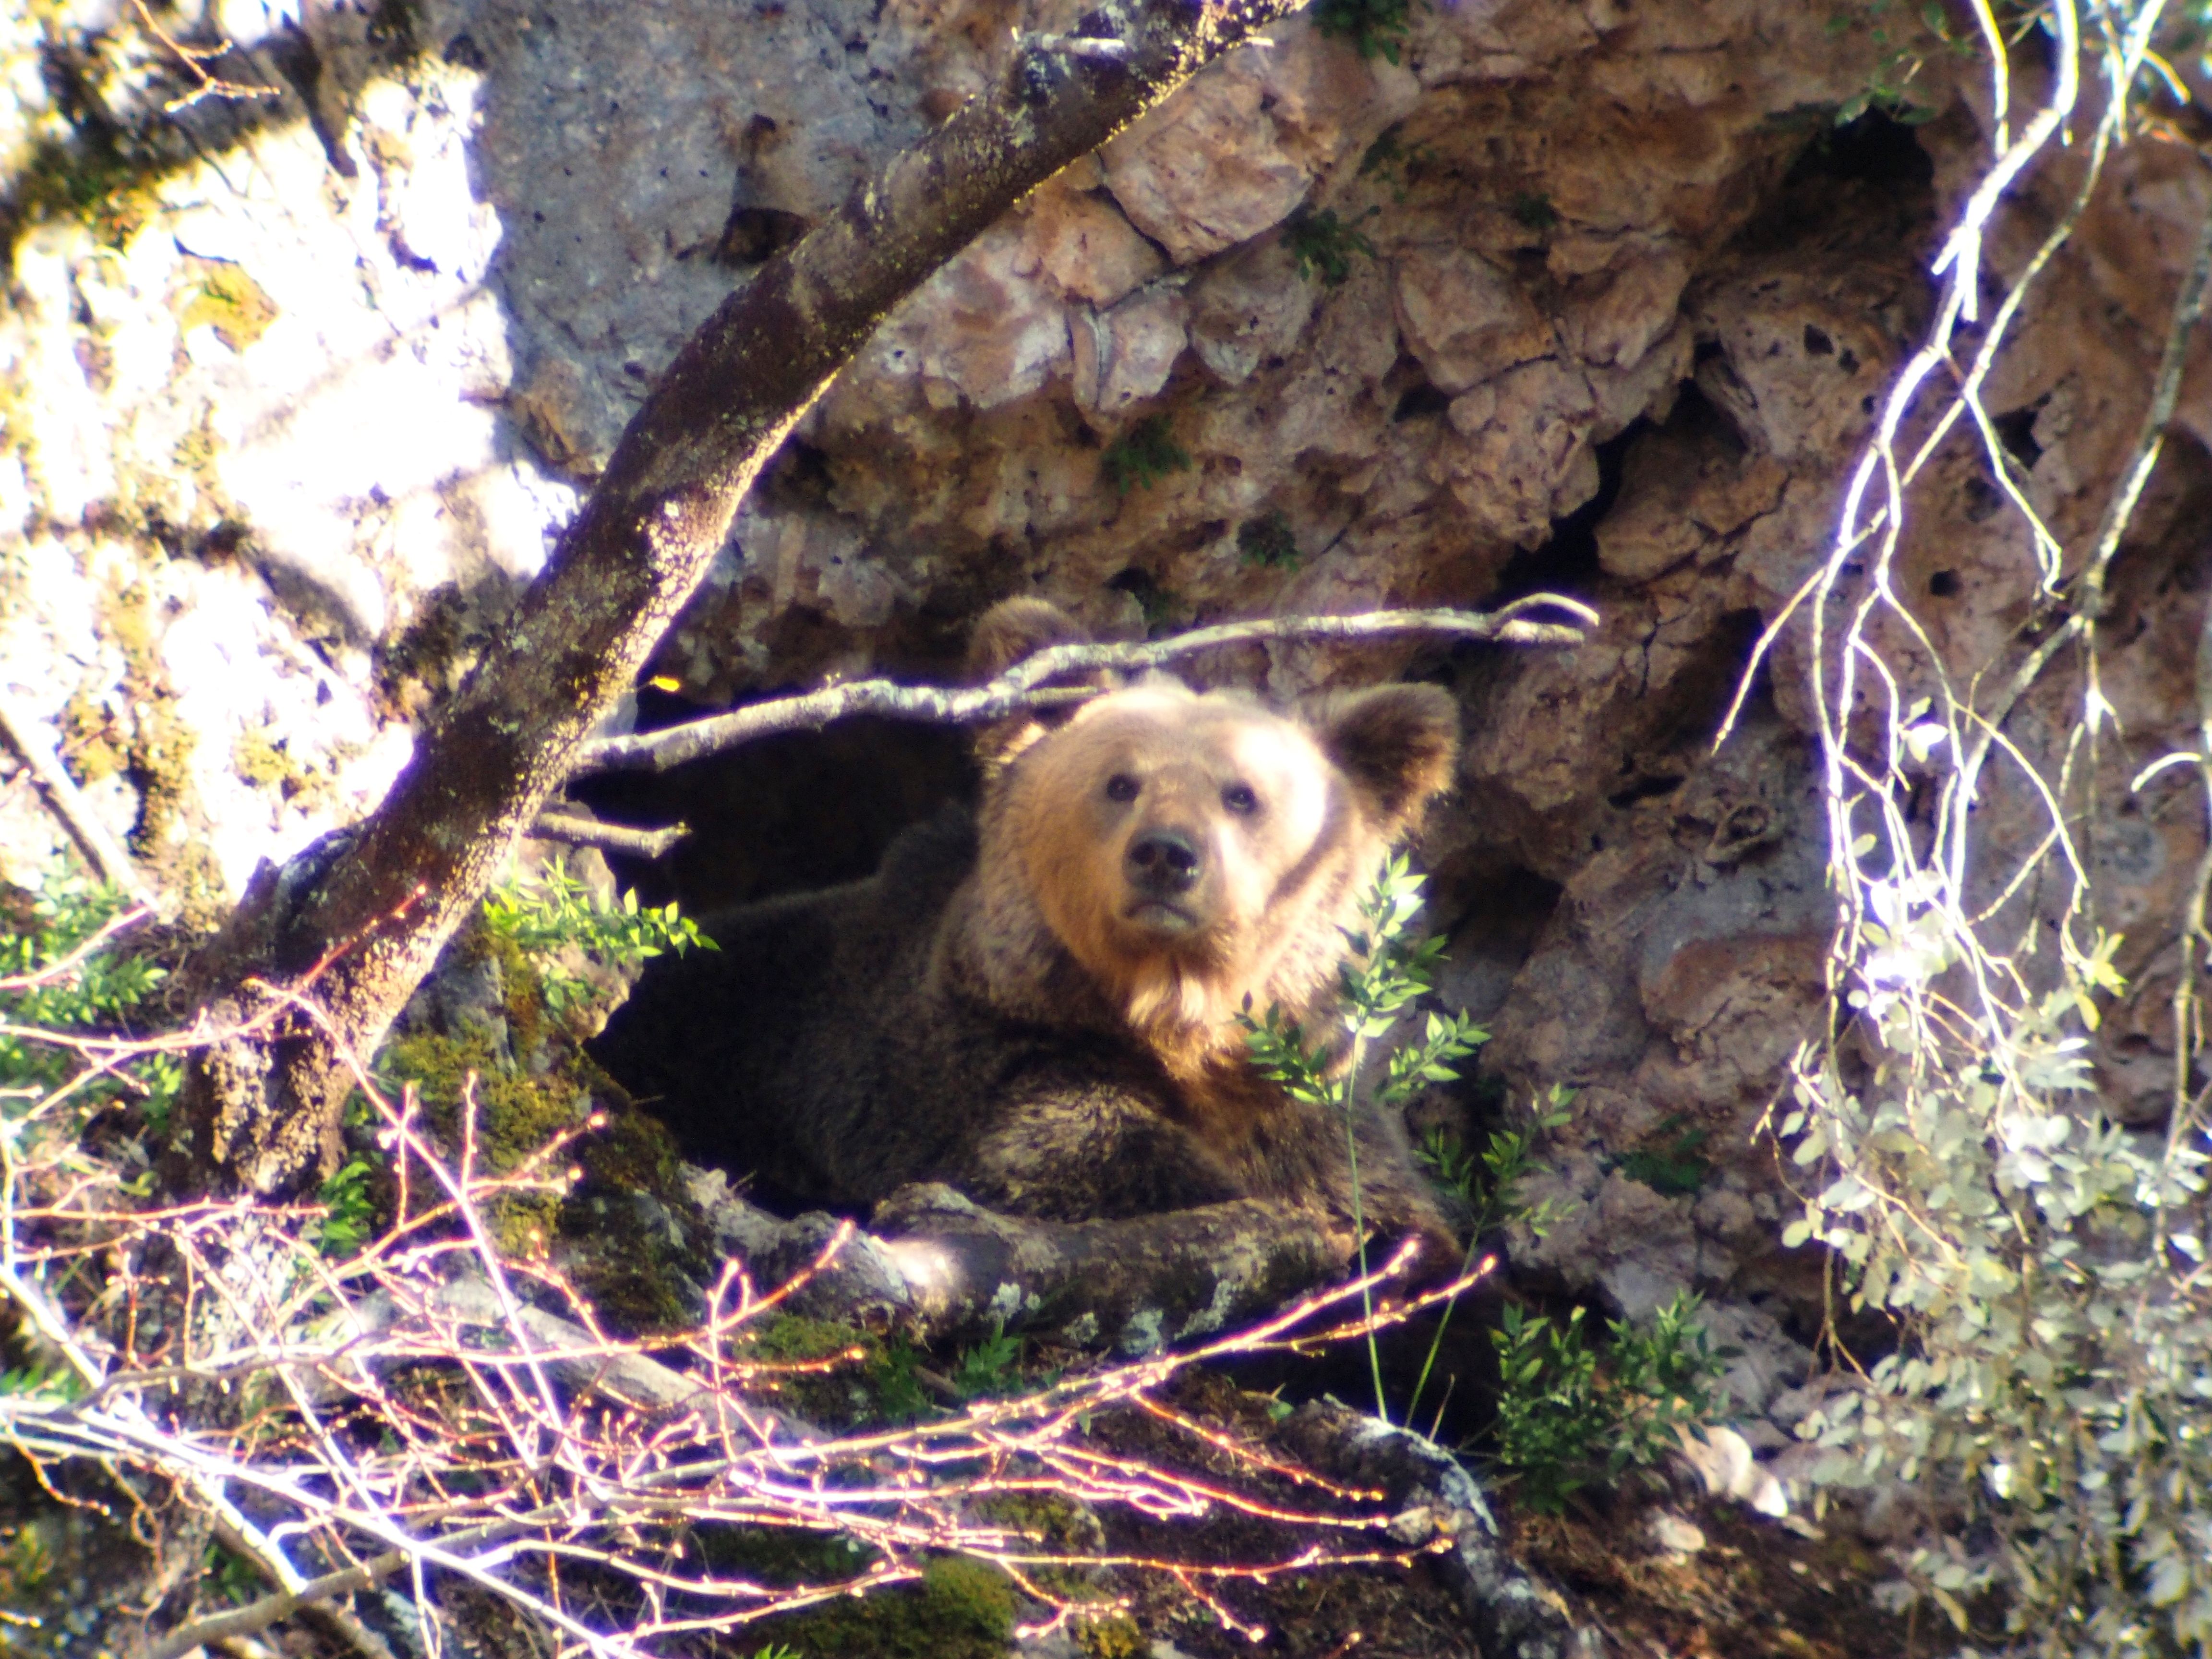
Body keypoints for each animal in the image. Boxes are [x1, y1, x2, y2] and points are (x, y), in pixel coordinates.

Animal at [601, 606, 1468, 1265]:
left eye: (1241, 794)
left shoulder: (1300, 1100)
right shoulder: (987, 1067)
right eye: (1120, 783)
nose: (1165, 856)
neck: (1172, 1020)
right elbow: (1080, 1164)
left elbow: (1383, 1206)